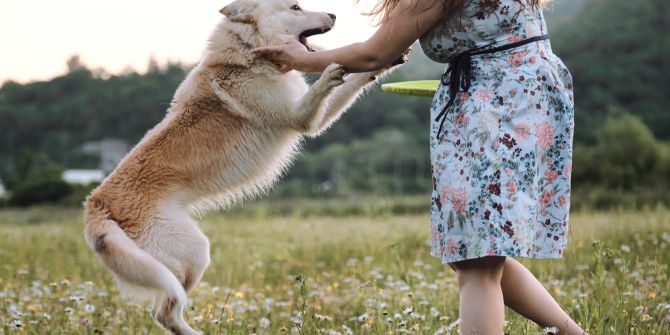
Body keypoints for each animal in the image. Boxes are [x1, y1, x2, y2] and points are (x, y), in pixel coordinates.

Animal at [81, 0, 402, 335]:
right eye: (295, 6)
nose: (334, 15)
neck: (248, 51)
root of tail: (97, 205)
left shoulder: (314, 115)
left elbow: (353, 83)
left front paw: (383, 63)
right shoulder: (302, 118)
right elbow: (325, 89)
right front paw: (329, 74)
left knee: (163, 313)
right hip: (193, 253)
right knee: (164, 312)